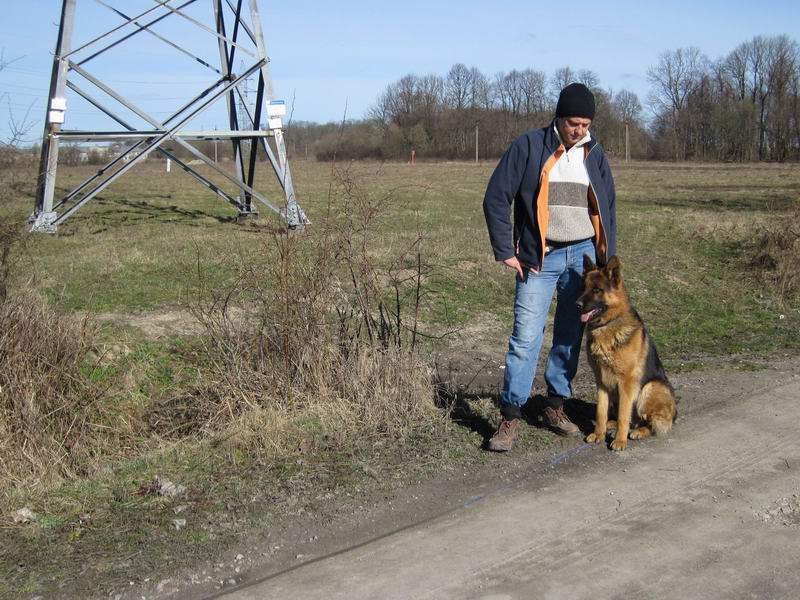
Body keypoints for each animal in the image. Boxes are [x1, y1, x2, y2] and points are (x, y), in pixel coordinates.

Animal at [576, 254, 676, 450]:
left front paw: (620, 441)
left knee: (649, 423)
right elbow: (600, 412)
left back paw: (637, 431)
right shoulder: (601, 381)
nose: (576, 304)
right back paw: (611, 424)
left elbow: (623, 415)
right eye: (583, 287)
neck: (608, 324)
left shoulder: (626, 382)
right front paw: (598, 434)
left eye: (597, 290)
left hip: (651, 387)